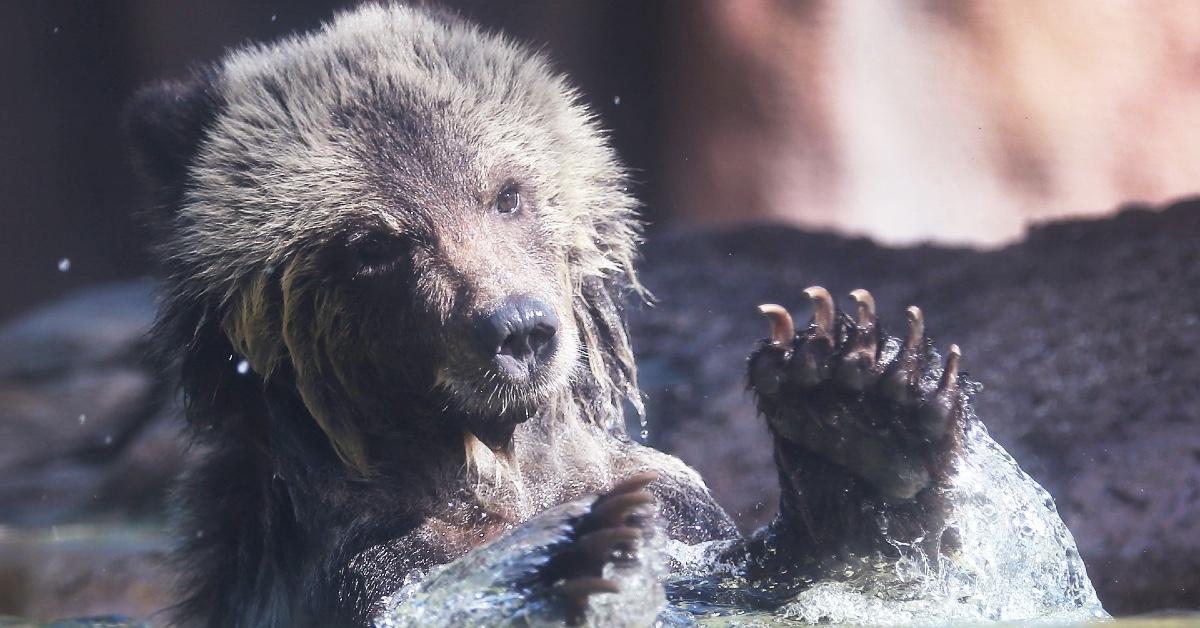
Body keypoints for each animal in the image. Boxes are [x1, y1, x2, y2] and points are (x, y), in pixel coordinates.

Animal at [126, 2, 1099, 624]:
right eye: (374, 242)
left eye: (506, 193)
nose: (518, 331)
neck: (496, 465)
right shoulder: (359, 562)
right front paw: (580, 557)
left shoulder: (673, 500)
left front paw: (857, 409)